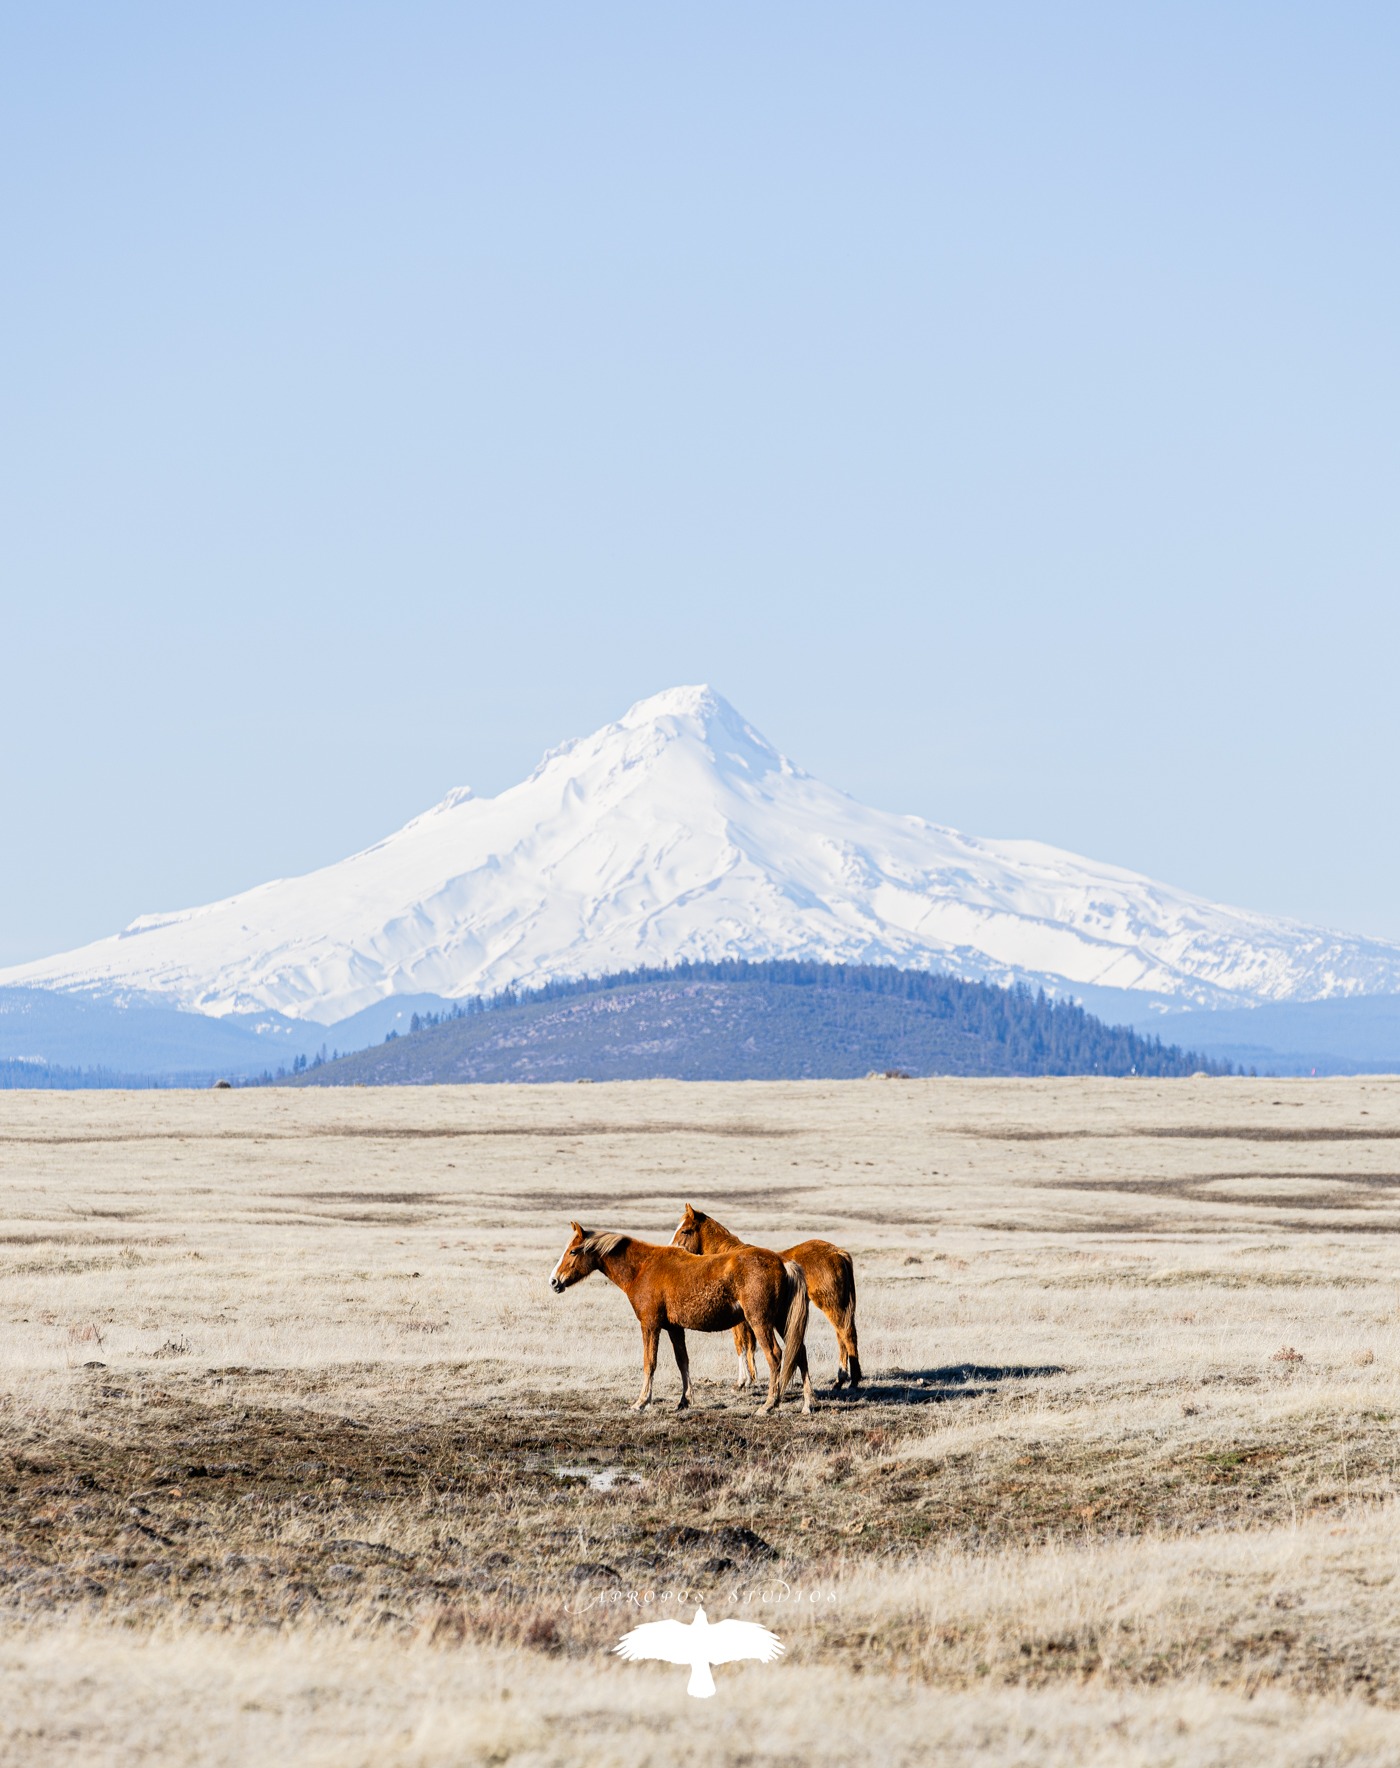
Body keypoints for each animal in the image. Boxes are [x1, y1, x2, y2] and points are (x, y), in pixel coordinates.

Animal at [549, 1222, 814, 1413]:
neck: (642, 1268)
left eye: (573, 1251)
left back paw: (769, 1404)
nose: (554, 1281)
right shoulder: (675, 1328)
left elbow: (649, 1362)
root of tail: (782, 1262)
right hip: (781, 1321)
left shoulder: (650, 1325)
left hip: (761, 1322)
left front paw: (641, 1402)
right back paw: (807, 1404)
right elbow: (682, 1362)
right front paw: (684, 1401)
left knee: (776, 1356)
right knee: (799, 1352)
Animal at [671, 1203, 862, 1390]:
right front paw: (749, 1379)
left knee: (846, 1334)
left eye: (685, 1231)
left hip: (832, 1305)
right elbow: (749, 1345)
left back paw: (852, 1380)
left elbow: (740, 1344)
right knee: (841, 1336)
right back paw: (841, 1380)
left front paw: (742, 1381)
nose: (673, 1250)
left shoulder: (740, 1321)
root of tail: (837, 1252)